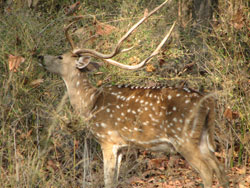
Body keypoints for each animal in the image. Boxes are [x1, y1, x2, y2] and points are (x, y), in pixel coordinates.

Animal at [38, 0, 228, 187]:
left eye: (60, 57)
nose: (40, 57)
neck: (90, 104)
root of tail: (208, 102)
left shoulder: (107, 139)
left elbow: (108, 181)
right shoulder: (122, 146)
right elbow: (114, 181)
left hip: (185, 138)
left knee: (206, 171)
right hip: (202, 137)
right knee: (219, 168)